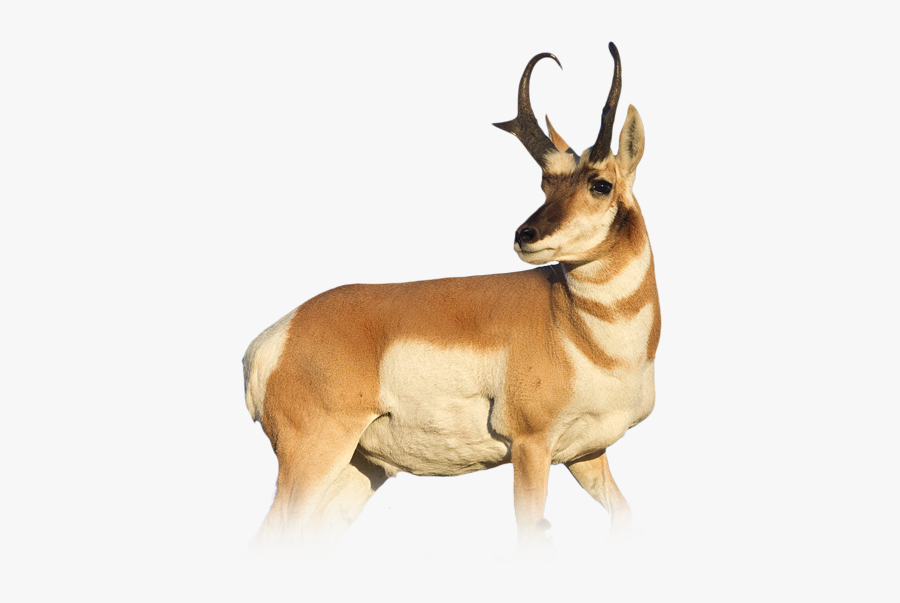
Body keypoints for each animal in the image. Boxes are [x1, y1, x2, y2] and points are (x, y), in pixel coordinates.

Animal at [244, 42, 660, 548]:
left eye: (600, 184)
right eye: (545, 183)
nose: (525, 235)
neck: (578, 329)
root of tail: (276, 337)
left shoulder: (586, 454)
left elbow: (625, 515)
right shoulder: (531, 446)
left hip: (358, 469)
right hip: (312, 458)